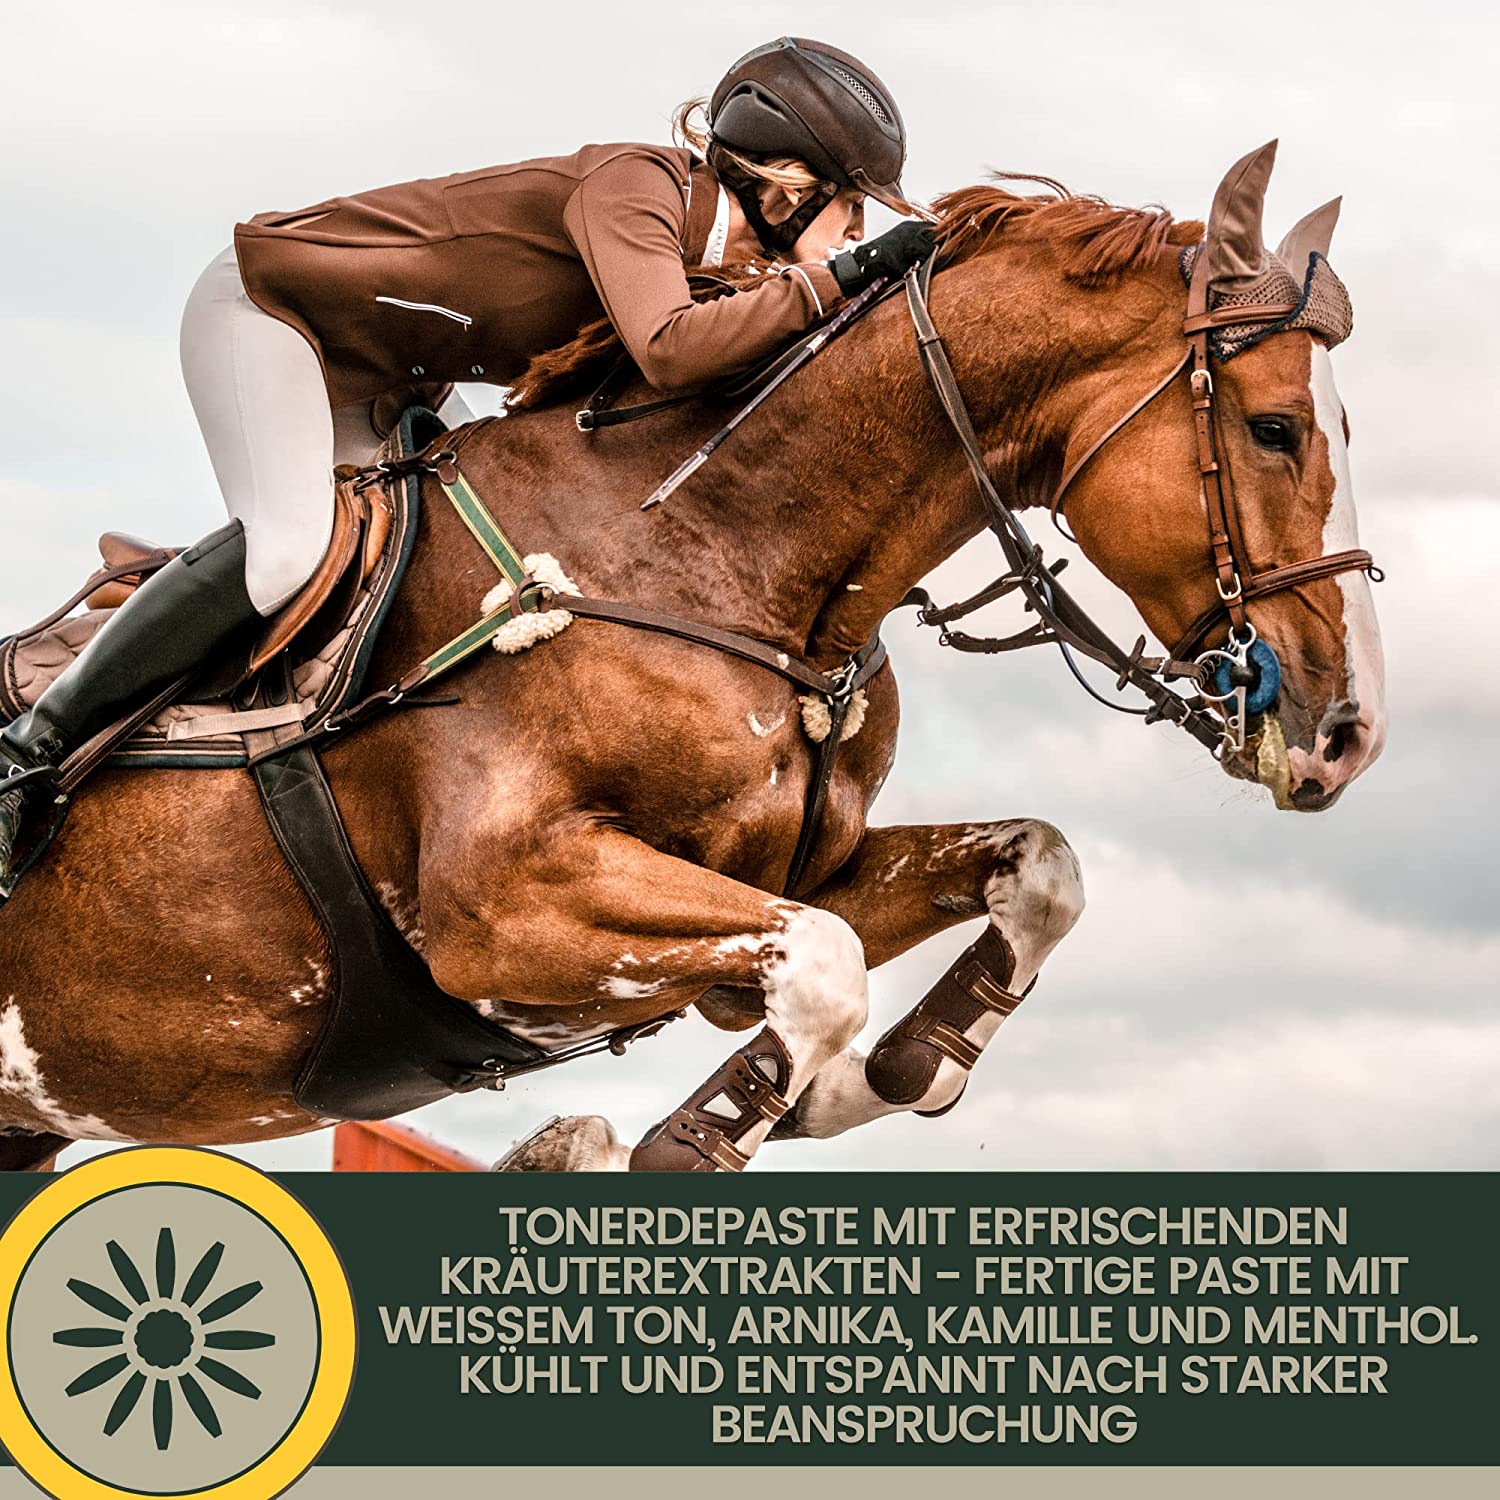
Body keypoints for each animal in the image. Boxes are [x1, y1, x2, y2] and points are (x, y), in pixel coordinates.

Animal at [0, 141, 1385, 1172]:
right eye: (1275, 428)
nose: (1348, 737)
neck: (708, 550)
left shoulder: (802, 872)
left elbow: (1034, 873)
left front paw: (879, 1076)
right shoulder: (502, 907)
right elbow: (821, 972)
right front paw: (680, 1138)